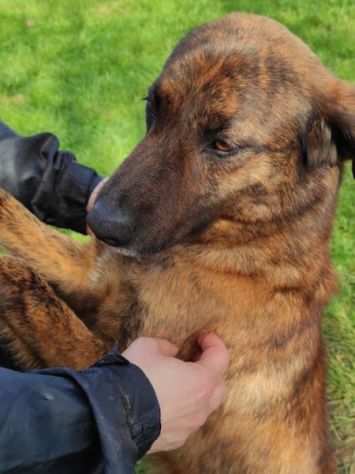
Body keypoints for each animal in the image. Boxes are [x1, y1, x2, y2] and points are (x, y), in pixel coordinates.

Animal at [0, 12, 355, 474]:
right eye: (152, 107)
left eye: (222, 144)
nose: (98, 220)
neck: (234, 254)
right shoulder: (88, 276)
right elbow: (20, 228)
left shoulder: (108, 355)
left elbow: (26, 282)